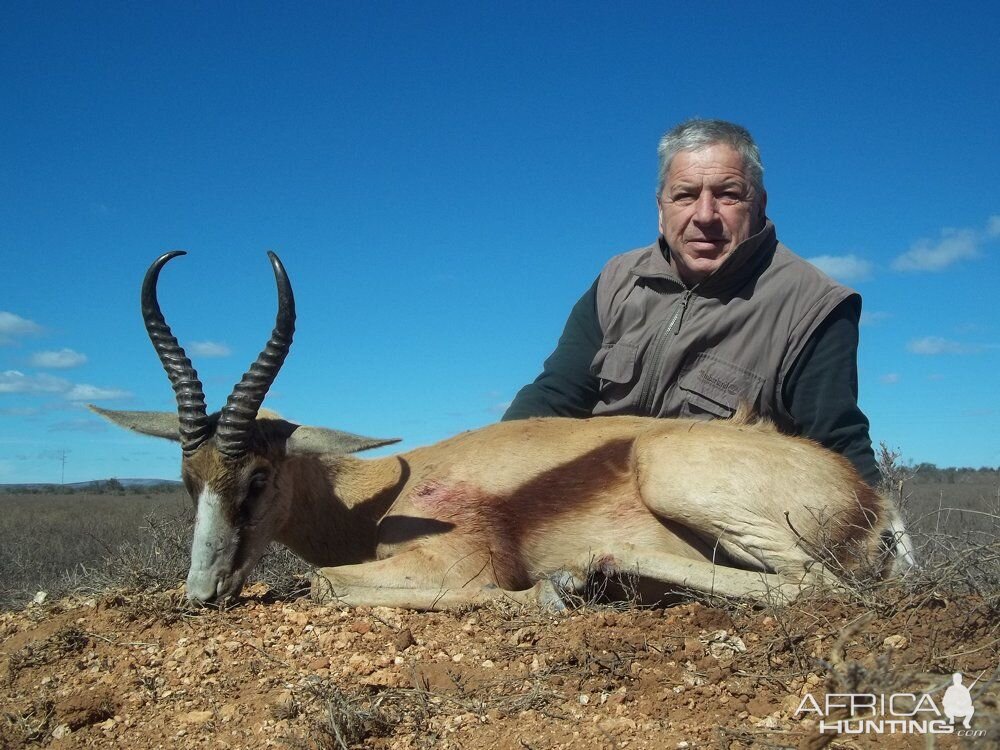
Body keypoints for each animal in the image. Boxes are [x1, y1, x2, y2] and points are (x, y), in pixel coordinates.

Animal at [94, 253, 916, 612]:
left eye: (259, 478)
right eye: (189, 480)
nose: (201, 591)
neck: (374, 497)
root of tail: (873, 501)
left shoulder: (457, 568)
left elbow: (326, 584)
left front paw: (543, 592)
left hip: (680, 480)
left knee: (815, 586)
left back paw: (583, 576)